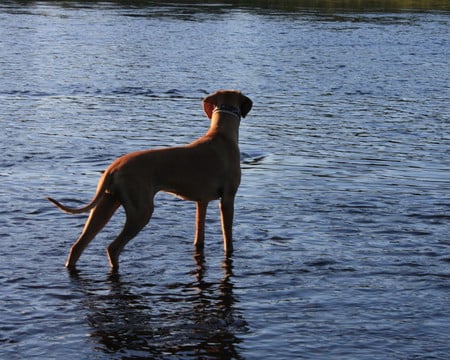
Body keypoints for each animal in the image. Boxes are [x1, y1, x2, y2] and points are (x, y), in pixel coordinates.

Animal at [47, 90, 251, 270]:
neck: (221, 135)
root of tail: (113, 168)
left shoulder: (202, 202)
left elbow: (199, 236)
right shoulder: (228, 199)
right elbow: (228, 237)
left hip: (105, 205)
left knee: (78, 246)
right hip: (141, 211)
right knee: (113, 247)